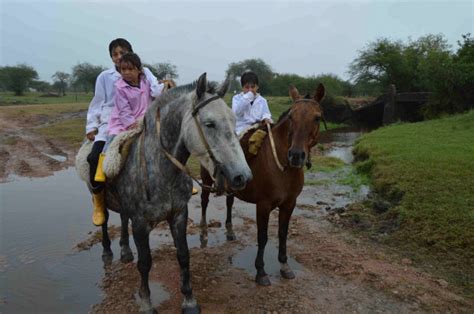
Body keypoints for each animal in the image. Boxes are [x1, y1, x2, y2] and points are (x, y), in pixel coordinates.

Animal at [78, 73, 252, 312]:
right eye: (209, 124)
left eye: (235, 121)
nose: (243, 176)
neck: (160, 170)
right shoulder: (140, 223)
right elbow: (145, 263)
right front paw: (146, 302)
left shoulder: (178, 214)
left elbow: (183, 255)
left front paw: (189, 300)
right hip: (99, 196)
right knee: (103, 219)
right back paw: (107, 251)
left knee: (122, 218)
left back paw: (125, 251)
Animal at [200, 83, 326, 284]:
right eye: (291, 116)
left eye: (317, 117)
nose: (296, 155)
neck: (283, 168)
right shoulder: (264, 205)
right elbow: (263, 236)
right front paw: (260, 271)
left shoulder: (289, 204)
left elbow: (282, 234)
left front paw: (284, 265)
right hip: (205, 180)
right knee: (204, 201)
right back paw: (204, 230)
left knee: (229, 202)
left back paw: (230, 230)